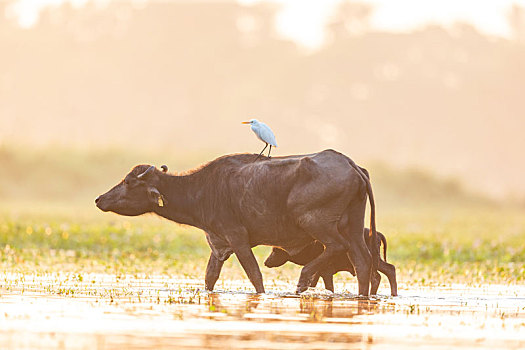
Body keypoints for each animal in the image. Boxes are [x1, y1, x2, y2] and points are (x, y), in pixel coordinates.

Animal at [95, 150, 376, 296]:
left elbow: (255, 275)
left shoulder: (238, 239)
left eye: (129, 182)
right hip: (353, 227)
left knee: (336, 247)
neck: (202, 190)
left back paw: (304, 278)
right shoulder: (218, 245)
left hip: (315, 222)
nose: (99, 199)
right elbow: (209, 278)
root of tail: (352, 165)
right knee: (363, 263)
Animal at [264, 228, 396, 296]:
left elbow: (329, 287)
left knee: (377, 276)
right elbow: (312, 284)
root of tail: (378, 234)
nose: (266, 262)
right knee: (389, 269)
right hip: (378, 260)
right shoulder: (318, 272)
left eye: (275, 250)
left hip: (374, 260)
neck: (310, 247)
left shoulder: (326, 271)